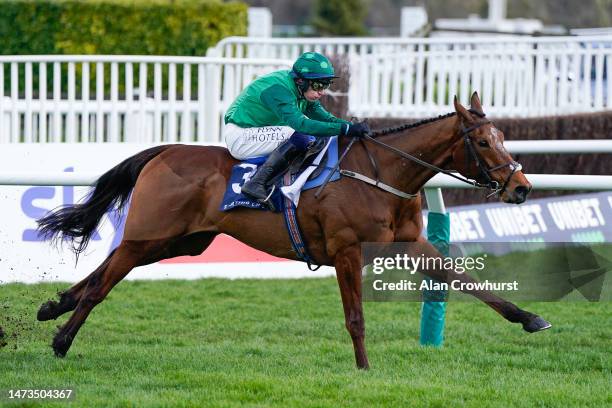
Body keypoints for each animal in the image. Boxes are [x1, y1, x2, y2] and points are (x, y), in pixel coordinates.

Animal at [37, 93, 556, 370]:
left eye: (504, 137)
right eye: (484, 141)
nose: (522, 187)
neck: (383, 173)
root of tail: (164, 151)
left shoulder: (411, 242)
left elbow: (464, 279)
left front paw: (530, 318)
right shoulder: (347, 250)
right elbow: (355, 317)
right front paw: (364, 368)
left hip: (177, 240)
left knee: (105, 269)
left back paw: (53, 307)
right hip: (152, 233)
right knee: (102, 284)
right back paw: (61, 341)